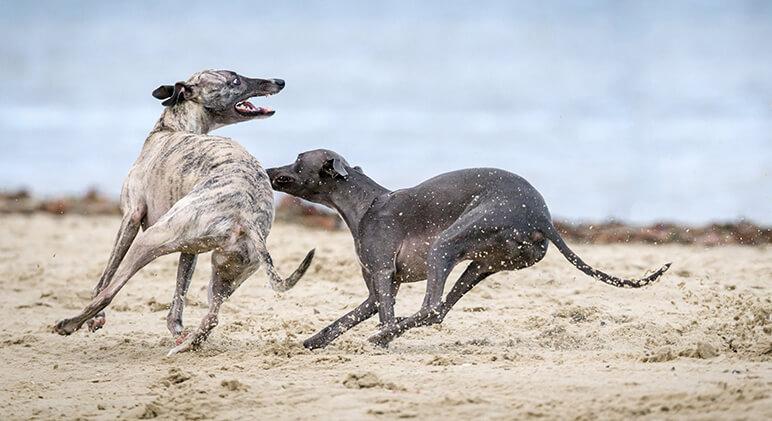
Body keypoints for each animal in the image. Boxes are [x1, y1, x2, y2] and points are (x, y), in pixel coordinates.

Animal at [53, 69, 314, 354]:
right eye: (234, 79)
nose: (280, 82)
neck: (173, 128)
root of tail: (248, 216)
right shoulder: (191, 249)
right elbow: (180, 293)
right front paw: (177, 329)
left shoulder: (132, 215)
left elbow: (106, 275)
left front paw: (96, 319)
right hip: (225, 271)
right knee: (212, 317)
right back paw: (185, 345)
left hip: (151, 239)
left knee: (110, 292)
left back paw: (69, 324)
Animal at [266, 148, 668, 348]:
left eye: (298, 160)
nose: (268, 170)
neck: (366, 203)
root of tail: (543, 217)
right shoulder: (379, 290)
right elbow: (343, 320)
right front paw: (312, 342)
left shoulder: (382, 274)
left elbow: (385, 315)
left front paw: (382, 340)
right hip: (481, 264)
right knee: (440, 310)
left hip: (446, 244)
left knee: (431, 308)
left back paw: (384, 336)